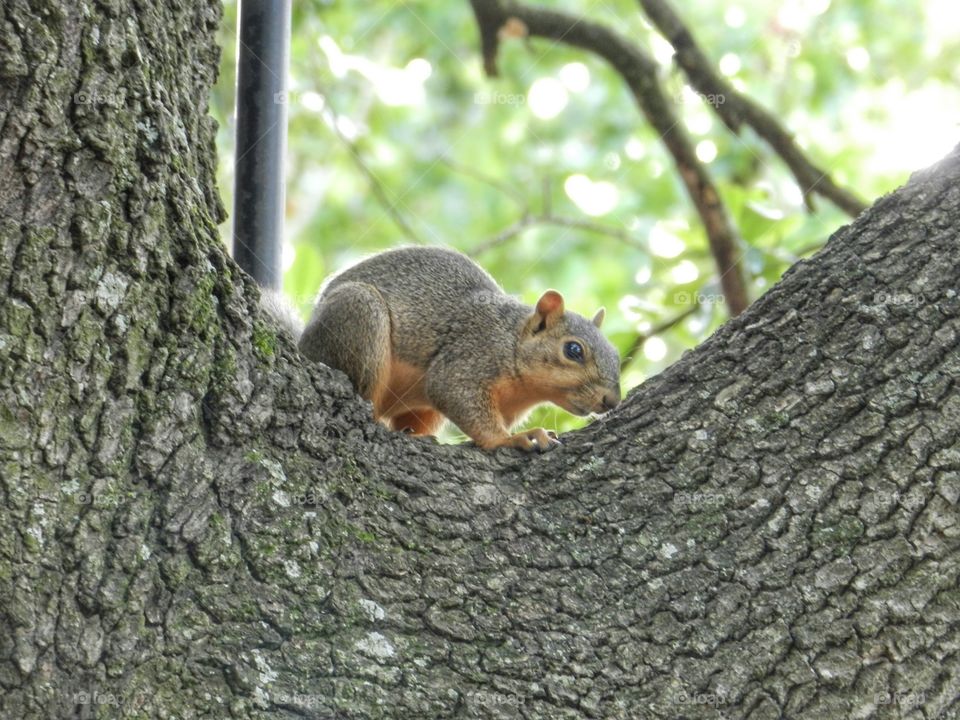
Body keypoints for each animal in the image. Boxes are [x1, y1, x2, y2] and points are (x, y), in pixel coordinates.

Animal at [283, 246, 621, 452]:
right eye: (574, 350)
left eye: (617, 355)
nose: (612, 400)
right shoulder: (469, 357)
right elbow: (455, 394)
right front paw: (512, 439)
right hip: (360, 316)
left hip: (423, 410)